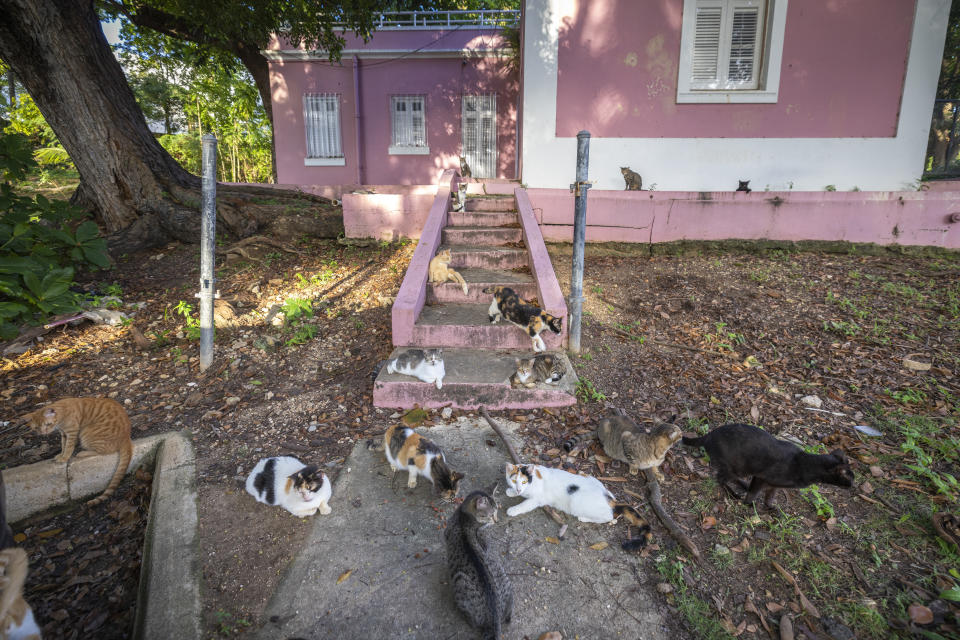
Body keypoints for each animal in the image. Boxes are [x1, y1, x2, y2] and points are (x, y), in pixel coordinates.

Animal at [444, 490, 512, 640]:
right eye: (490, 514)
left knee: (474, 623)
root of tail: (495, 616)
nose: (496, 521)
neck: (464, 515)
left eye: (496, 512)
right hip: (501, 571)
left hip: (460, 581)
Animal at [502, 464, 652, 552]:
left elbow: (525, 504)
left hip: (577, 501)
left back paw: (584, 518)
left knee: (609, 517)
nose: (518, 489)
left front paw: (512, 509)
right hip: (592, 479)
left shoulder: (537, 499)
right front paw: (511, 491)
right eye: (514, 481)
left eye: (524, 481)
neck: (535, 478)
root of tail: (611, 501)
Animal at [684, 422, 856, 508]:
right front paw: (749, 505)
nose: (853, 485)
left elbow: (769, 496)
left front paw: (771, 508)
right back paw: (734, 494)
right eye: (849, 477)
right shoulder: (761, 477)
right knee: (720, 479)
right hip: (734, 467)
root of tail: (709, 435)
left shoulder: (774, 485)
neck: (804, 465)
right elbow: (753, 494)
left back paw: (743, 485)